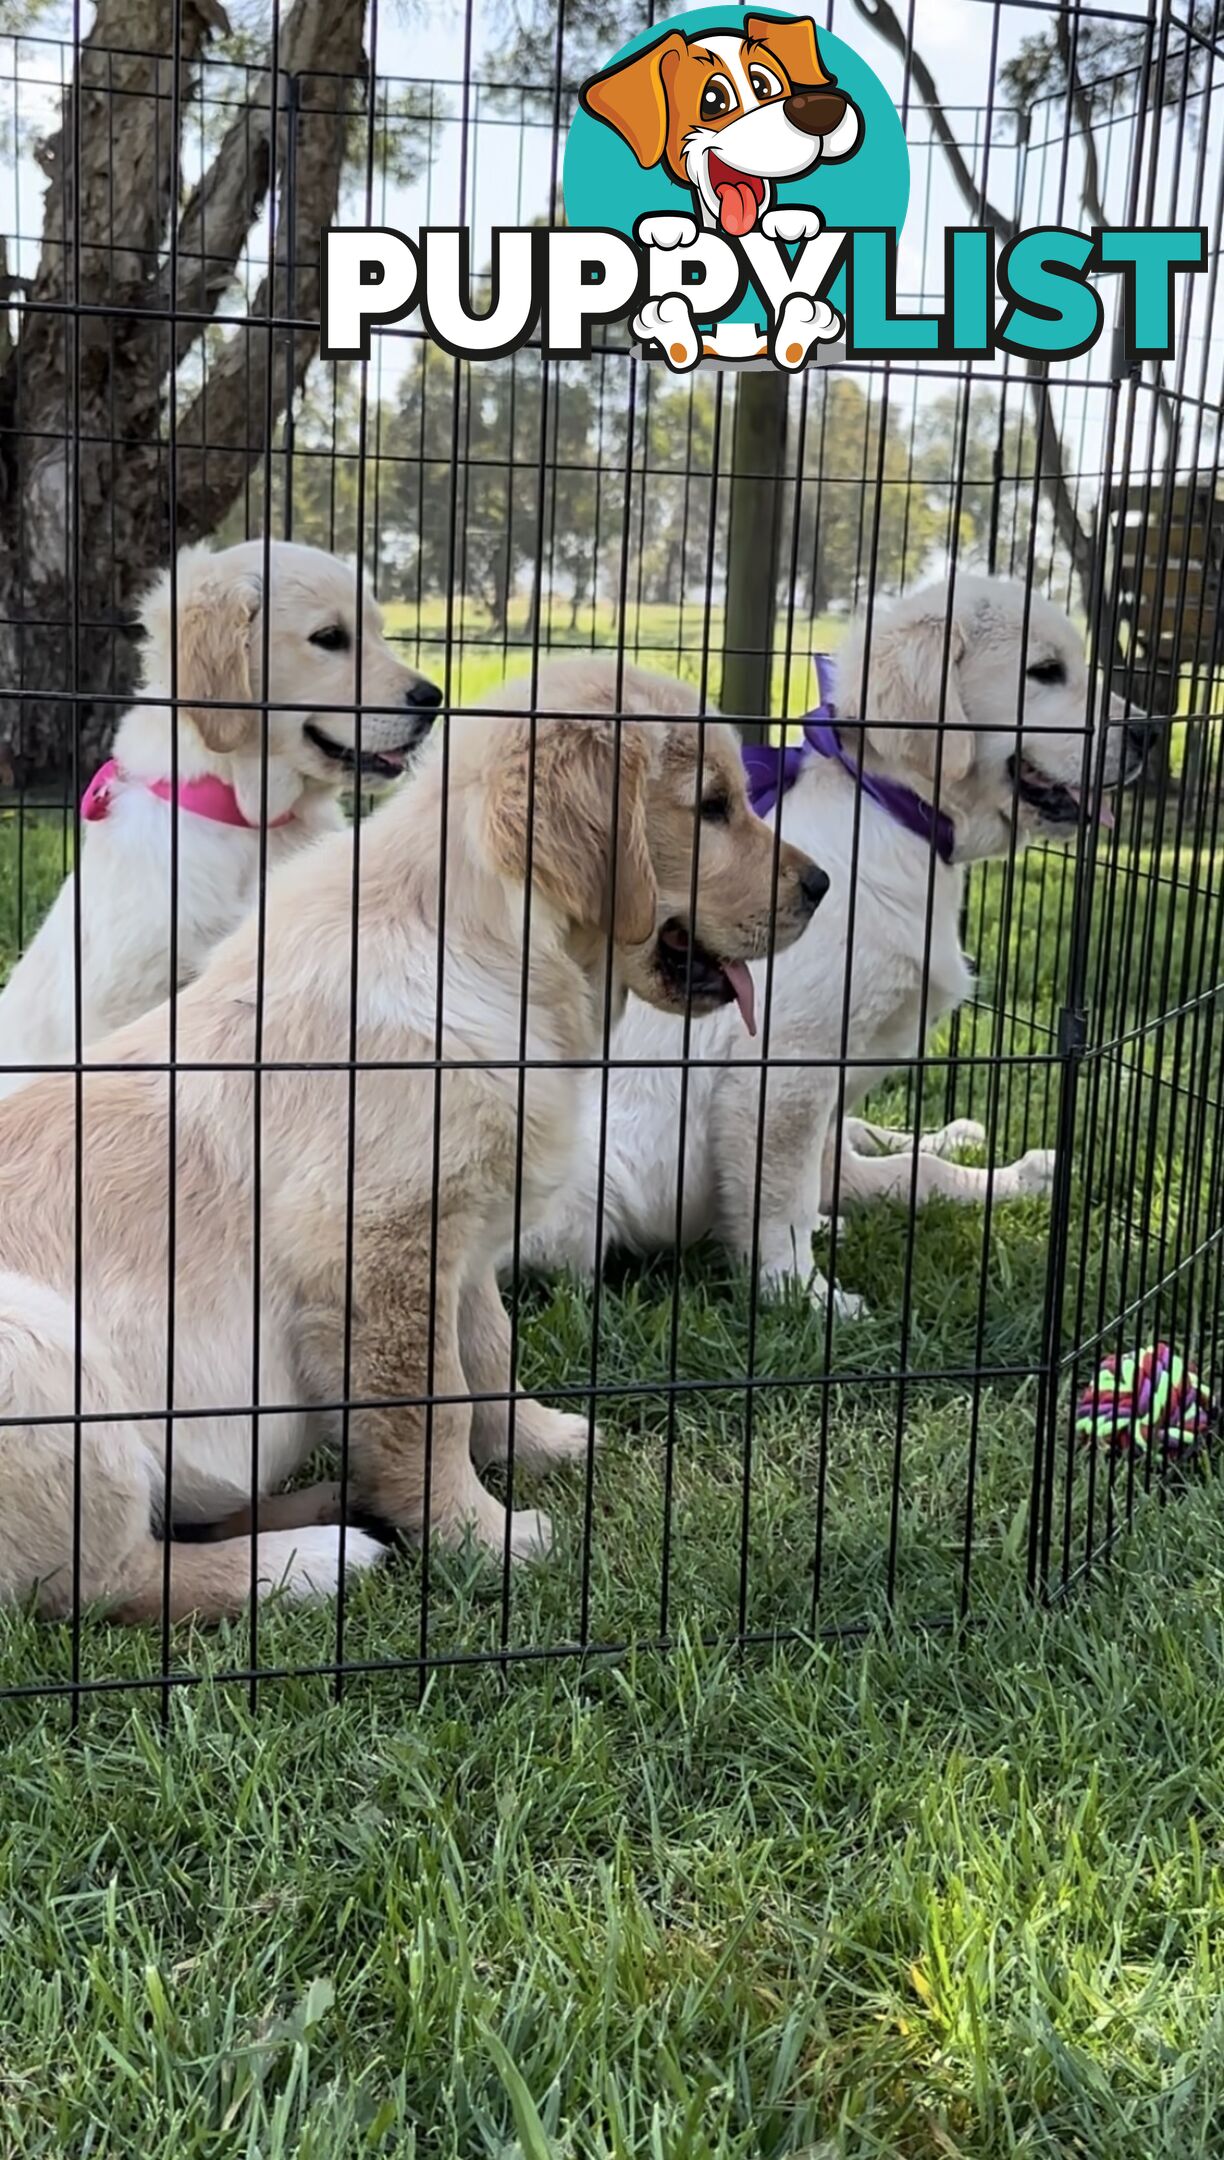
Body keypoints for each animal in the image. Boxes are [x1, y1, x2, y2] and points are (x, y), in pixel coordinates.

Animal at [0, 682, 833, 1615]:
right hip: (41, 1360)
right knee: (107, 1579)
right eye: (713, 807)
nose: (823, 885)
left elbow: (489, 1357)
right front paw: (482, 1536)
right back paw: (311, 1559)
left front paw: (538, 1441)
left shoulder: (463, 1239)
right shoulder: (379, 1249)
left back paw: (328, 1500)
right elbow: (431, 1407)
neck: (490, 950)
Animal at [522, 574, 1157, 1304]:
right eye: (1046, 672)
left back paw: (958, 1140)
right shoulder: (786, 1064)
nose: (1150, 733)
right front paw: (801, 1291)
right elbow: (786, 1196)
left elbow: (880, 1168)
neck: (894, 814)